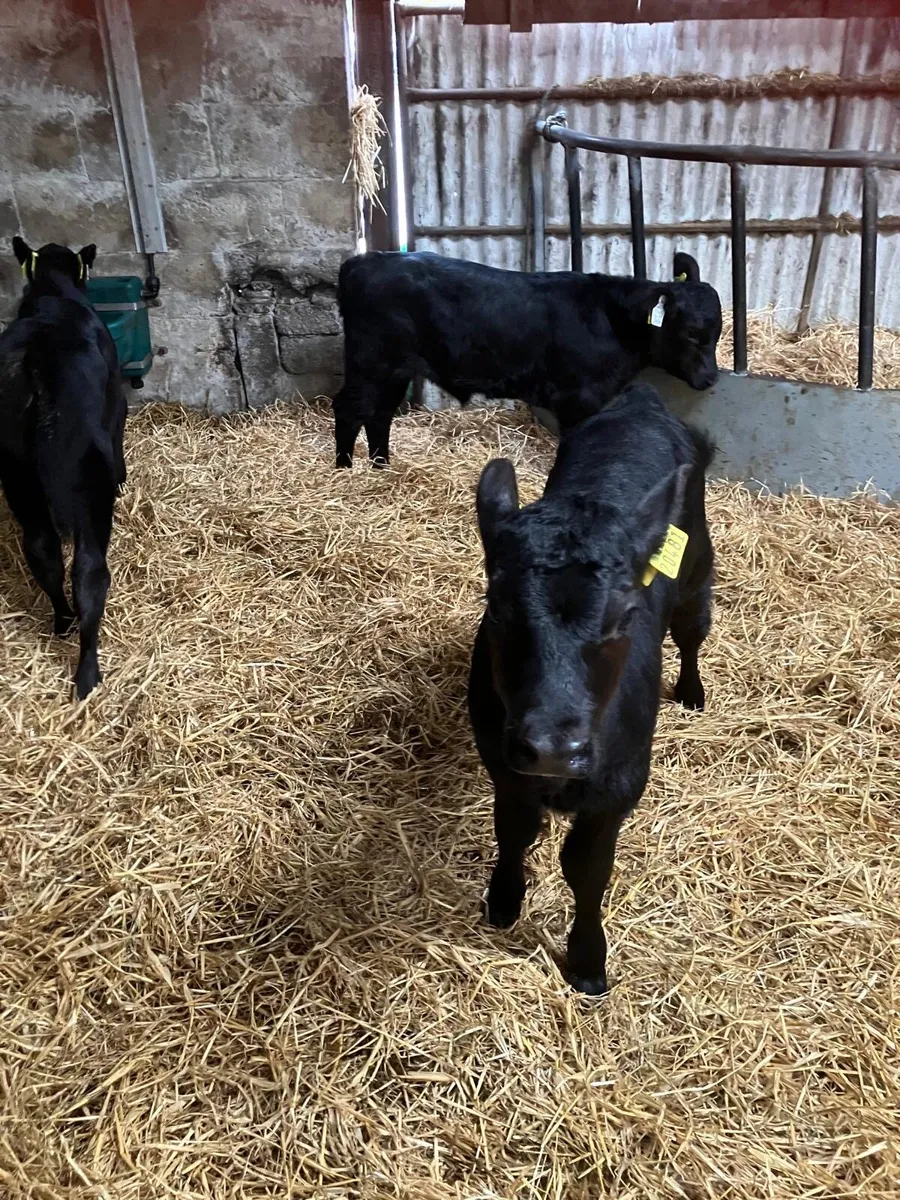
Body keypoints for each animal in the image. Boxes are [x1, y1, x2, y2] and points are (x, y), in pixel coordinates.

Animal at [0, 237, 127, 699]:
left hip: (19, 478)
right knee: (89, 573)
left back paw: (62, 622)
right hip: (87, 485)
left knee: (43, 553)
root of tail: (35, 363)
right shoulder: (117, 407)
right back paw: (87, 673)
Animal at [332, 249, 721, 469]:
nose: (712, 378)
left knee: (379, 415)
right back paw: (344, 471)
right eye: (690, 332)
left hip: (394, 370)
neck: (612, 321)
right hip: (371, 363)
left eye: (717, 331)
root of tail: (363, 261)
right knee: (350, 409)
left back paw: (381, 467)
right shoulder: (575, 399)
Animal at [468, 381, 714, 994]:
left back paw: (692, 690)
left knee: (693, 630)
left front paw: (586, 960)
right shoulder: (504, 765)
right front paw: (503, 900)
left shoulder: (620, 782)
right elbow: (514, 832)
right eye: (498, 608)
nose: (553, 748)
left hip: (699, 569)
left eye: (624, 616)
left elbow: (586, 866)